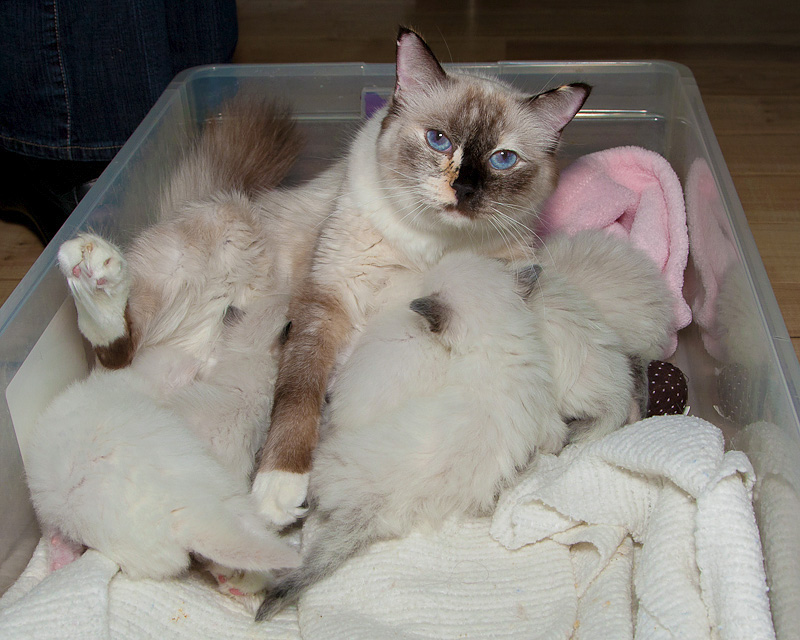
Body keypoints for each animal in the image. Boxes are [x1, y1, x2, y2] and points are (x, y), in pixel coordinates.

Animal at [253, 26, 592, 524]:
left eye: (502, 159)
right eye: (438, 140)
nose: (463, 189)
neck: (435, 245)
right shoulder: (330, 300)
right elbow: (298, 392)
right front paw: (278, 486)